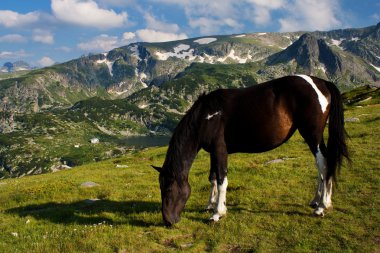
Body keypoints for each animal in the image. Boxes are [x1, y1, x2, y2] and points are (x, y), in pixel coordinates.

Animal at [152, 74, 350, 226]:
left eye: (168, 189)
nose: (168, 221)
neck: (207, 116)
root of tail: (320, 82)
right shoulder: (213, 153)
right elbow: (213, 177)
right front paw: (210, 204)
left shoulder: (220, 150)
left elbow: (222, 179)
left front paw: (218, 213)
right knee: (323, 165)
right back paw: (317, 200)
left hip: (312, 135)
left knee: (324, 164)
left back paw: (322, 206)